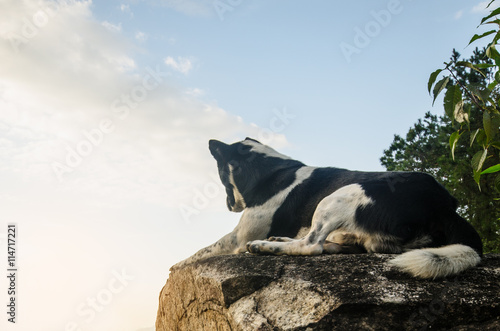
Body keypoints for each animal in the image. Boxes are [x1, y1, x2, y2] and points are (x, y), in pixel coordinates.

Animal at [174, 138, 482, 280]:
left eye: (218, 162)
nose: (211, 142)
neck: (273, 171)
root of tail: (446, 207)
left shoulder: (239, 236)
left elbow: (201, 252)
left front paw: (176, 266)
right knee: (331, 246)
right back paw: (281, 240)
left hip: (340, 195)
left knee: (312, 246)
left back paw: (266, 246)